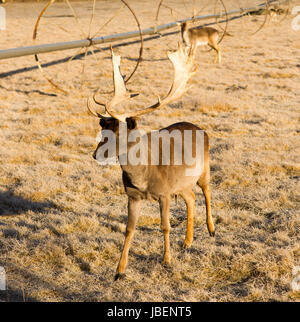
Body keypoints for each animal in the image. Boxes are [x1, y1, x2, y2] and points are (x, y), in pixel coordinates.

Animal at [87, 42, 216, 280]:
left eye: (120, 134)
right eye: (103, 131)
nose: (95, 155)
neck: (143, 176)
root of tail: (200, 128)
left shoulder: (164, 193)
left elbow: (165, 226)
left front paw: (166, 260)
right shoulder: (133, 195)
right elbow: (129, 229)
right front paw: (119, 270)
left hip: (205, 170)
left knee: (206, 192)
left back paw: (211, 229)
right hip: (182, 183)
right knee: (191, 198)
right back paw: (187, 242)